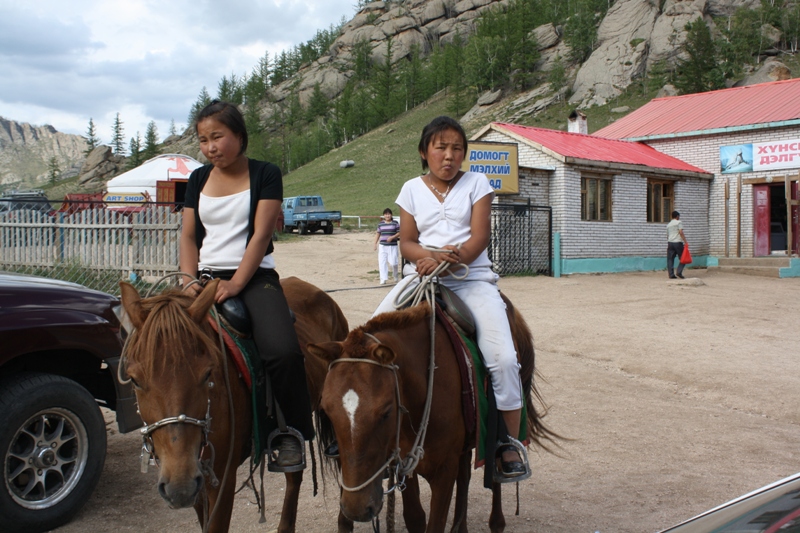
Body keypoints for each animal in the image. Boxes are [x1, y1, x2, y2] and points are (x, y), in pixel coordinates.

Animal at [308, 296, 556, 532]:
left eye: (386, 412)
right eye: (327, 411)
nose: (356, 508)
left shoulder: (443, 471)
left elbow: (435, 523)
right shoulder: (404, 463)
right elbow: (415, 518)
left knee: (494, 476)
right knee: (464, 476)